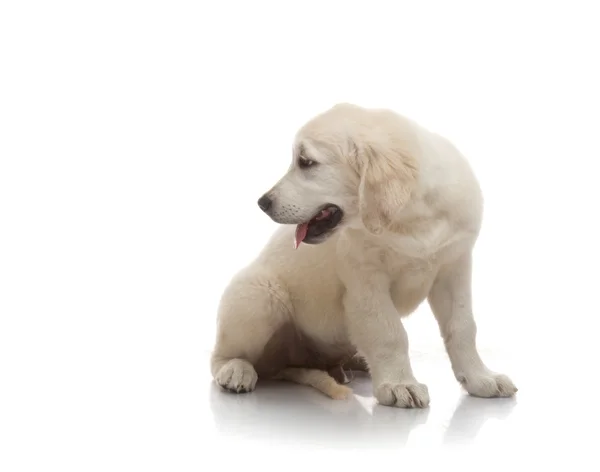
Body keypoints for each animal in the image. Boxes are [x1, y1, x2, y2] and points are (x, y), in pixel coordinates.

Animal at [210, 102, 516, 406]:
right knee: (223, 357)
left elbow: (462, 326)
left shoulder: (455, 267)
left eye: (306, 162)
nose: (263, 202)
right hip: (259, 295)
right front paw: (399, 384)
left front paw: (480, 378)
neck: (409, 220)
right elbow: (389, 332)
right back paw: (236, 370)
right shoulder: (365, 281)